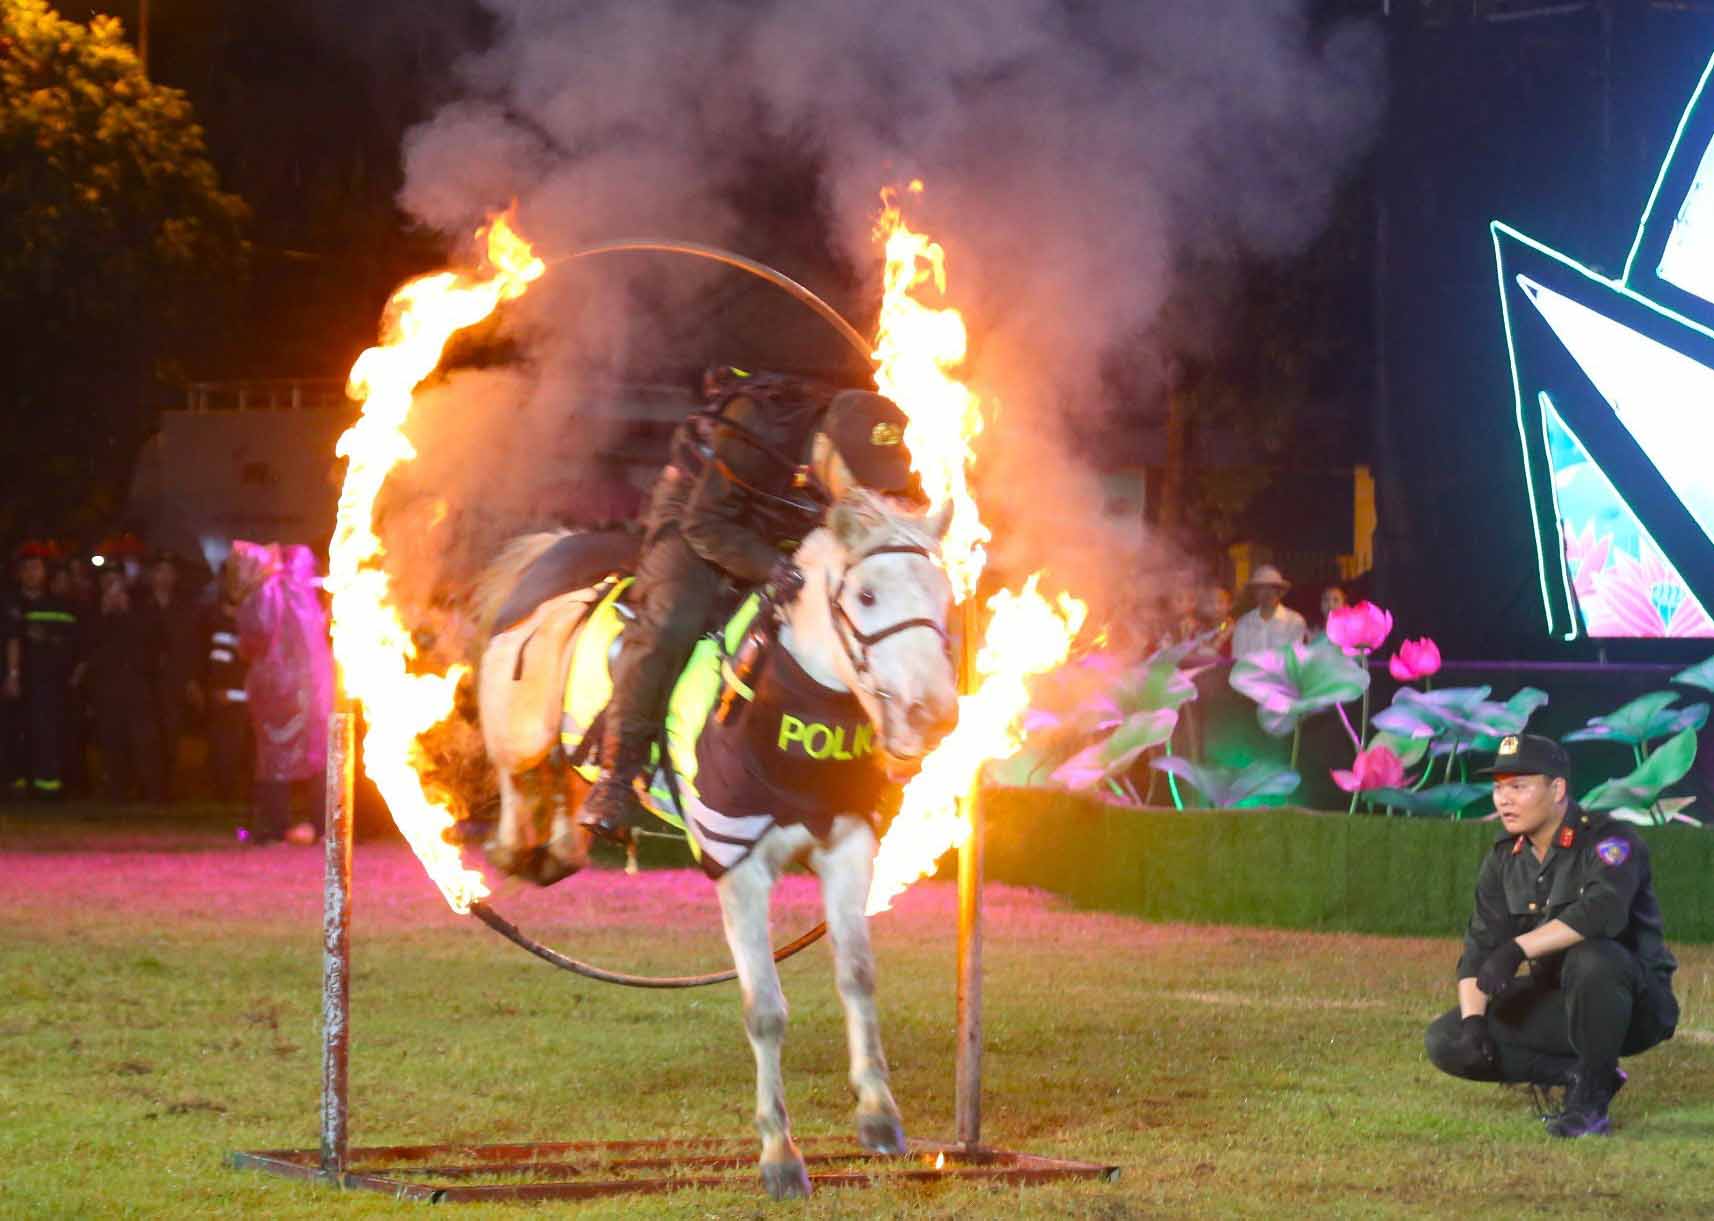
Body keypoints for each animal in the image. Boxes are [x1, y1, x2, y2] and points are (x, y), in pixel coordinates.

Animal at [476, 490, 959, 1200]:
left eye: (944, 594)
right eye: (867, 596)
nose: (934, 714)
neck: (789, 709)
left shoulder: (846, 848)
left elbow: (857, 975)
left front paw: (878, 1118)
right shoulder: (740, 867)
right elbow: (765, 1010)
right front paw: (780, 1156)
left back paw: (569, 836)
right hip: (518, 727)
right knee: (518, 781)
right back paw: (524, 847)